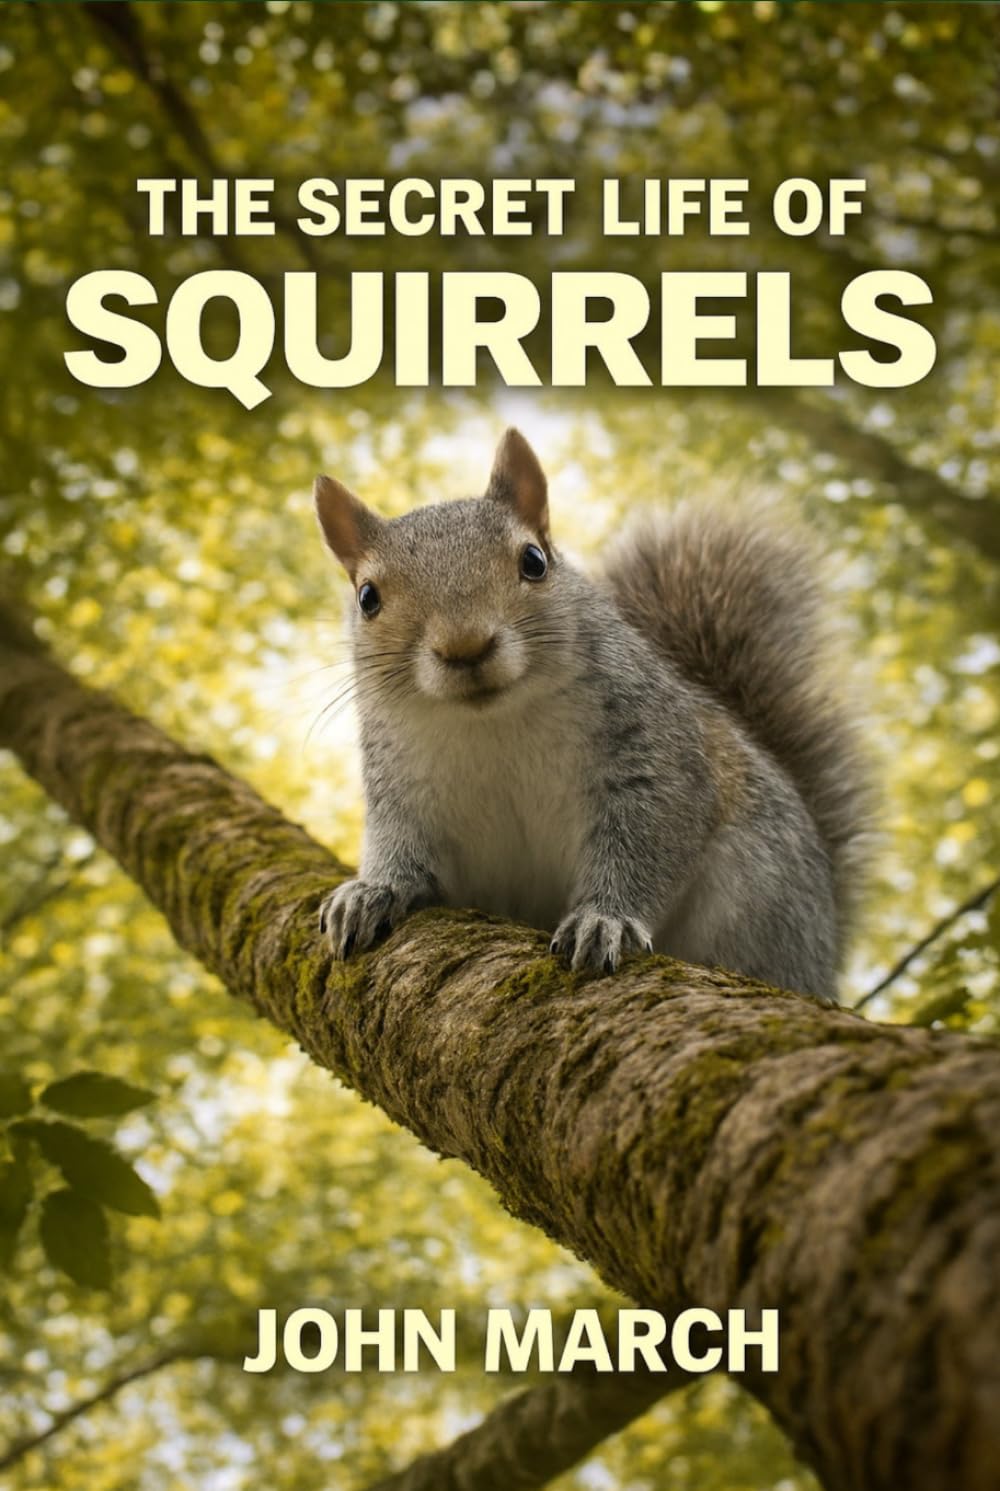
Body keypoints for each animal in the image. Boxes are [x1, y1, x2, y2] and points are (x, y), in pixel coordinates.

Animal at [313, 428, 870, 1001]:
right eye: (368, 597)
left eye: (535, 561)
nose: (465, 646)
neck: (494, 722)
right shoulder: (401, 788)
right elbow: (400, 845)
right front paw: (374, 891)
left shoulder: (656, 761)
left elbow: (644, 847)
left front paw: (605, 921)